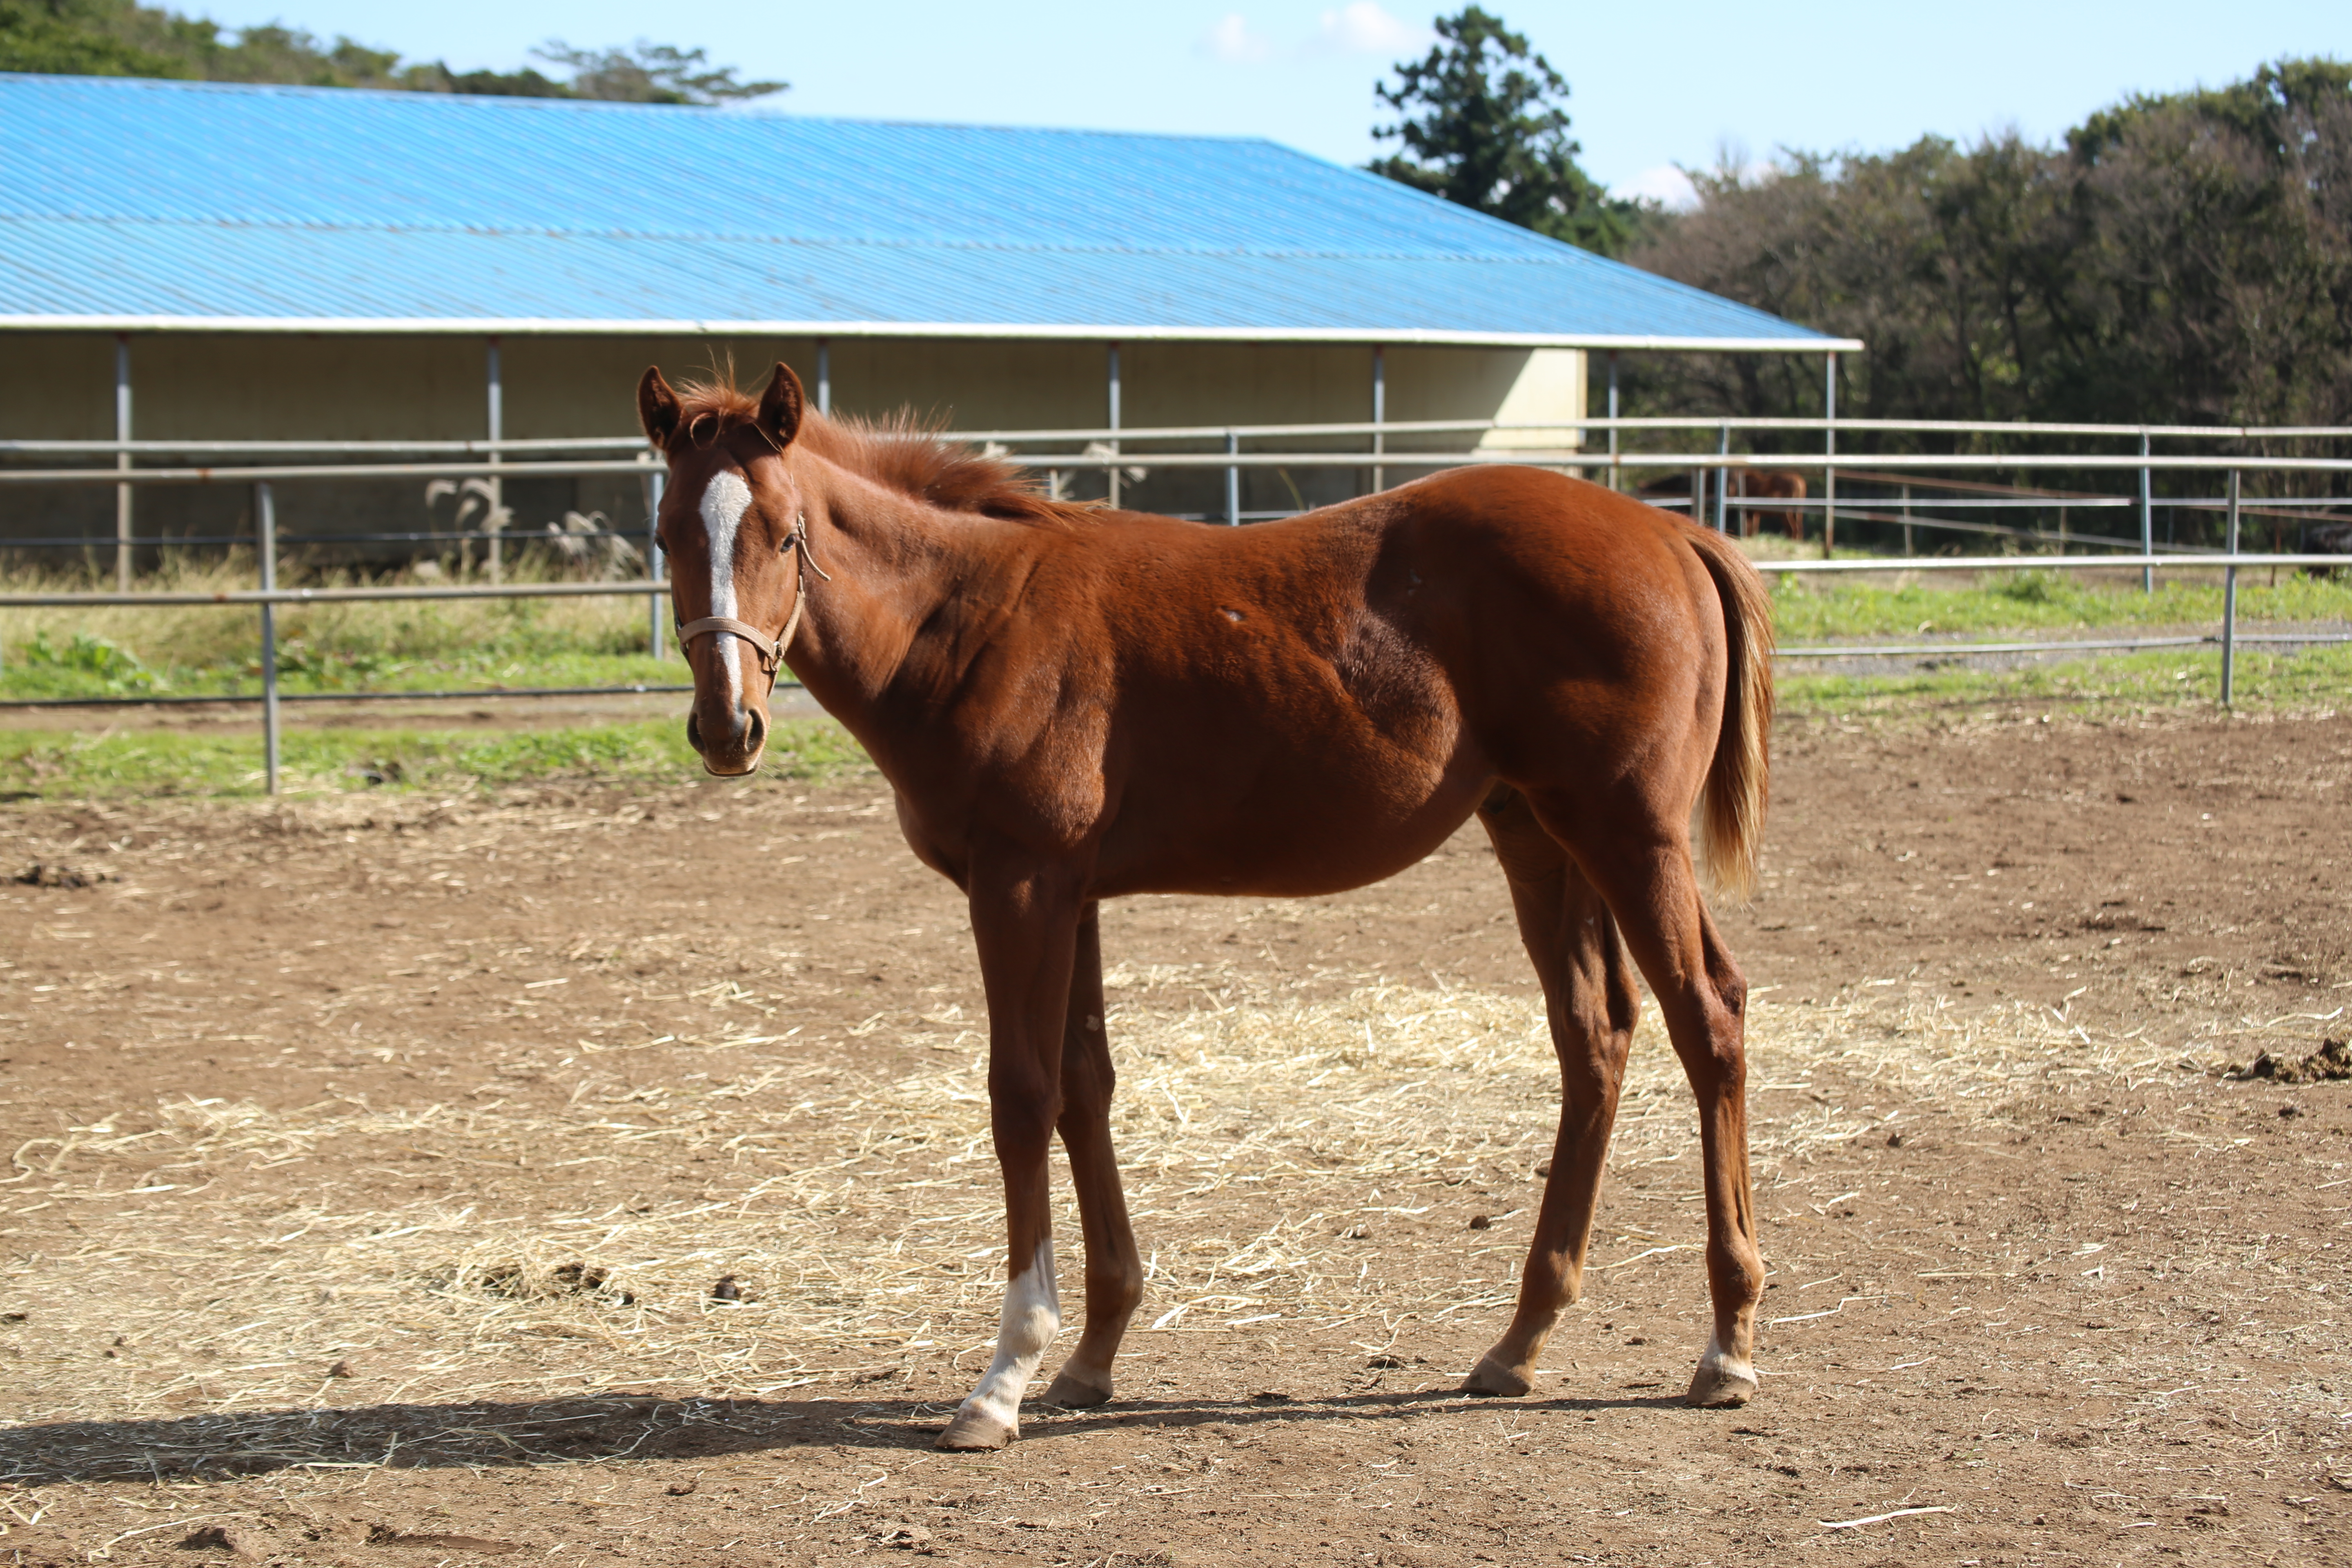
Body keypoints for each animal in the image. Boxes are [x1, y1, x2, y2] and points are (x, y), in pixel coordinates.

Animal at [635, 362, 1768, 1457]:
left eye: (785, 534)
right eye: (665, 534)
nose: (727, 727)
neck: (973, 616)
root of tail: (1673, 531)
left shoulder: (1019, 885)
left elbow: (1021, 1097)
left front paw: (1003, 1377)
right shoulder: (1071, 893)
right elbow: (1085, 1088)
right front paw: (1091, 1354)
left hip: (1628, 835)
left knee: (1706, 1016)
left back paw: (1726, 1346)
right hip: (1536, 835)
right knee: (1595, 1034)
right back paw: (1518, 1341)